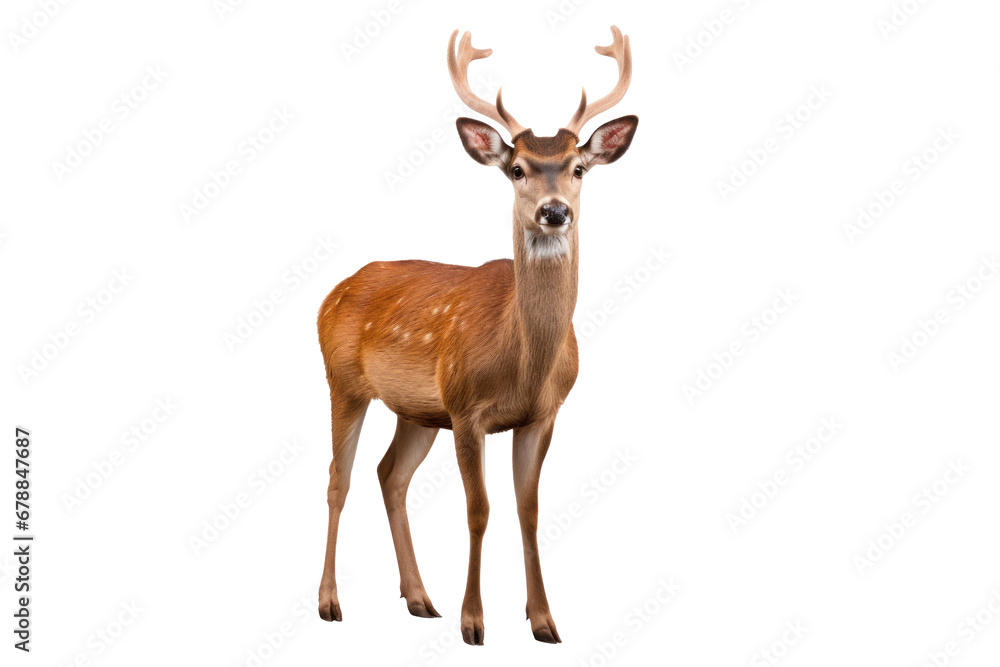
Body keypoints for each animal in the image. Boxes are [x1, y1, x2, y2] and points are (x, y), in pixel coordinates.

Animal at [316, 26, 637, 645]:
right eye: (516, 169)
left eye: (578, 167)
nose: (553, 211)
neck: (523, 362)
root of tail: (332, 292)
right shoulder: (467, 408)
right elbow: (479, 508)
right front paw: (474, 622)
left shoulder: (541, 413)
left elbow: (528, 508)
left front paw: (544, 622)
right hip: (343, 382)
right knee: (339, 478)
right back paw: (330, 603)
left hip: (416, 411)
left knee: (389, 475)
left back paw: (420, 599)